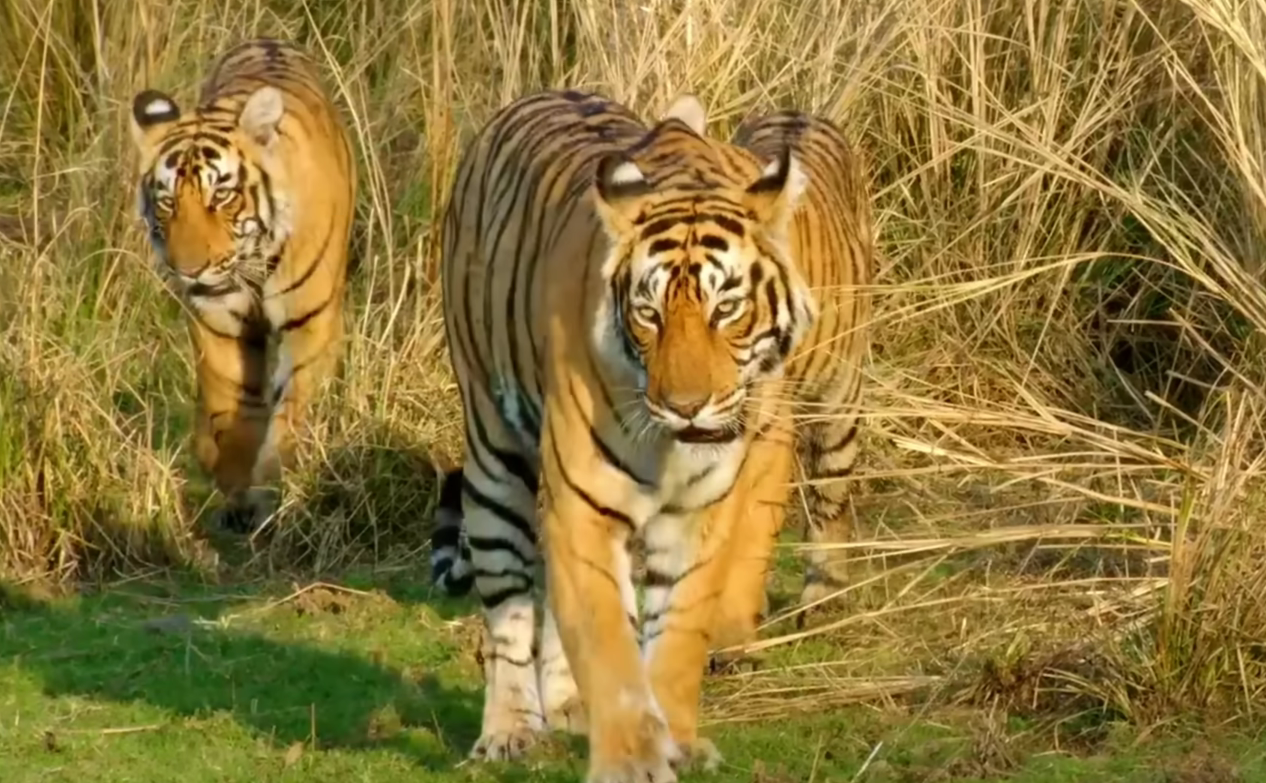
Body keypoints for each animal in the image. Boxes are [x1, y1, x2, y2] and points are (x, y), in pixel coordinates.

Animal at [127, 37, 357, 532]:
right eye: (167, 202)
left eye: (222, 196)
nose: (189, 269)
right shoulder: (218, 320)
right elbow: (232, 400)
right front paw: (234, 481)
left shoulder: (311, 321)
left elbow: (292, 408)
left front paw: (272, 487)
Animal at [430, 89, 873, 782]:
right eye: (648, 313)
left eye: (727, 309)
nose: (686, 408)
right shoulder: (584, 500)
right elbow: (609, 644)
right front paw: (632, 758)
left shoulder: (708, 505)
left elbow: (678, 630)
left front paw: (678, 738)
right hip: (494, 448)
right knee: (508, 603)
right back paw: (511, 728)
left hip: (836, 402)